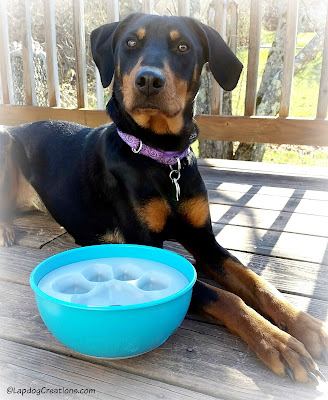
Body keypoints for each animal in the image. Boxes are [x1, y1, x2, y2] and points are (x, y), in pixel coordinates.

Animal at [0, 12, 326, 382]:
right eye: (130, 42)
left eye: (183, 47)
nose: (148, 81)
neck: (162, 157)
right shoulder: (149, 245)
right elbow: (225, 298)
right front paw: (276, 342)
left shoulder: (204, 240)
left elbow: (255, 283)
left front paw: (304, 324)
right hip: (6, 142)